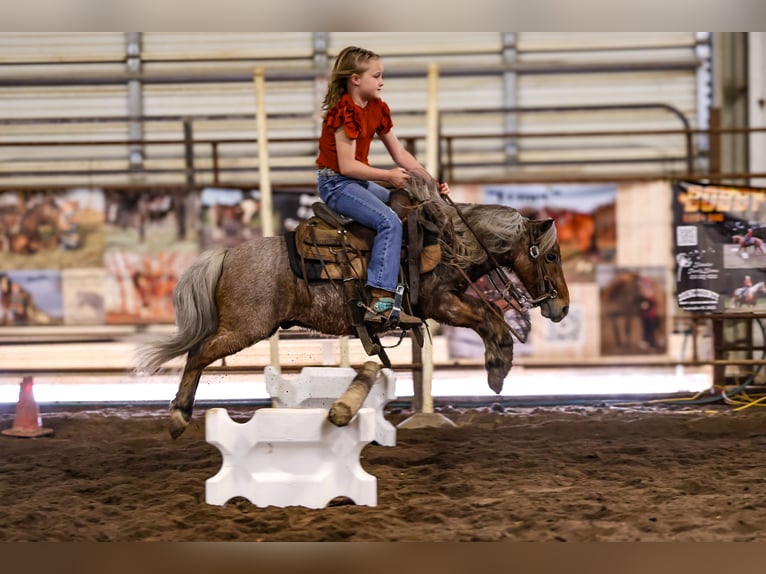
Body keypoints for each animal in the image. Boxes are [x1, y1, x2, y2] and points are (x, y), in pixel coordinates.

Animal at [137, 174, 570, 439]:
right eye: (551, 256)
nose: (563, 307)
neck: (450, 241)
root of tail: (226, 255)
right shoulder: (440, 303)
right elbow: (487, 317)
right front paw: (498, 366)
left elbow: (488, 318)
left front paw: (499, 364)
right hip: (244, 328)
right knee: (197, 353)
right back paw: (178, 416)